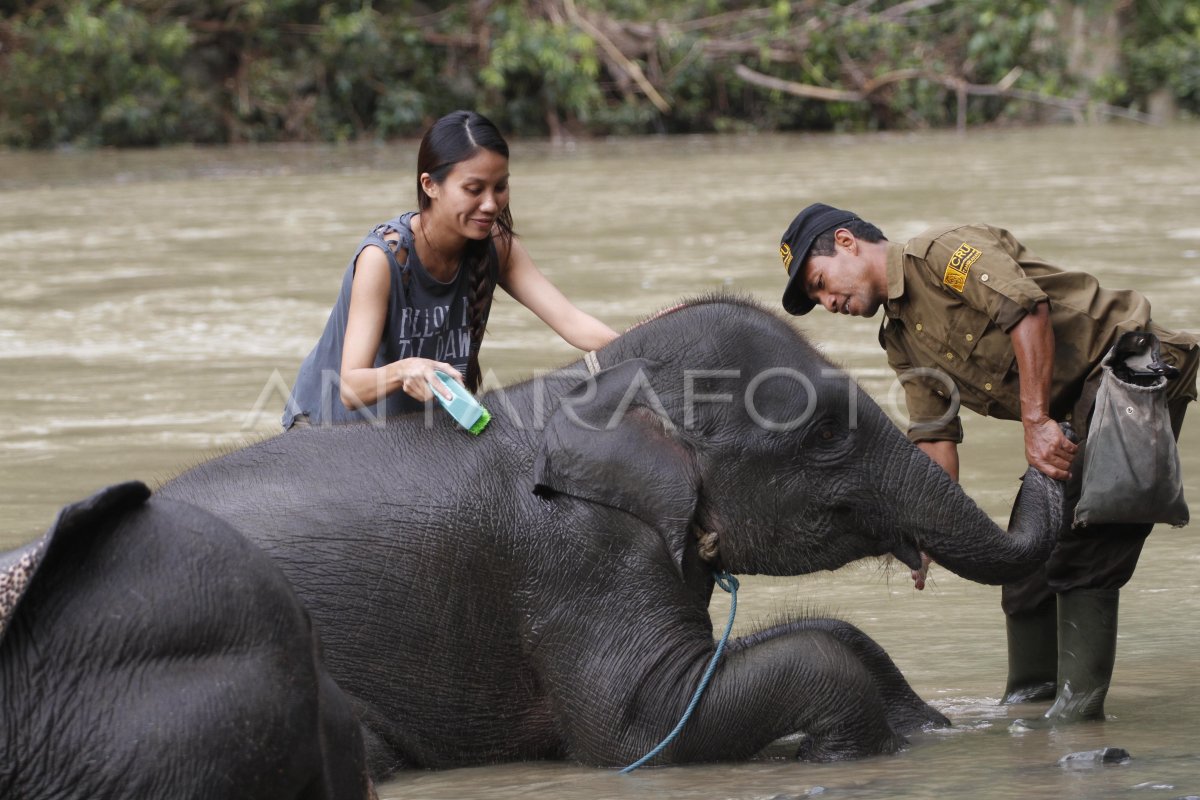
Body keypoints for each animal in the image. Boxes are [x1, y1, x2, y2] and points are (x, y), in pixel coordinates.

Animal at [157, 297, 1060, 777]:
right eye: (828, 433)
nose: (1052, 450)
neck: (601, 384)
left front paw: (929, 729)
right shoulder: (578, 556)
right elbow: (638, 723)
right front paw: (843, 755)